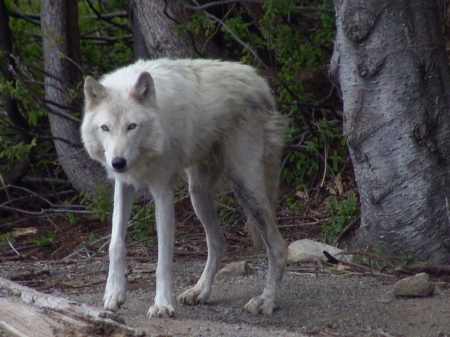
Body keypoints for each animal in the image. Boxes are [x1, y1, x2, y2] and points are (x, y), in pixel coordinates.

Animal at [81, 58, 286, 318]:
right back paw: (200, 291)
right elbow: (115, 244)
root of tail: (259, 81)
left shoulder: (163, 191)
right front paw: (113, 295)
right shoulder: (124, 185)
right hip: (198, 194)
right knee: (218, 242)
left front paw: (162, 305)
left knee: (277, 247)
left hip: (246, 185)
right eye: (105, 128)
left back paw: (267, 301)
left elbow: (163, 258)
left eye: (132, 126)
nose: (118, 162)